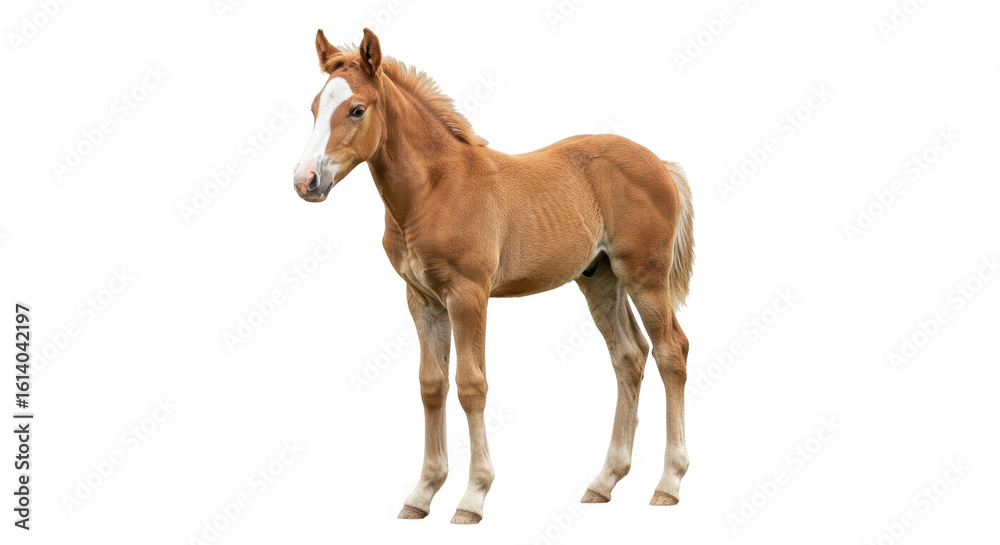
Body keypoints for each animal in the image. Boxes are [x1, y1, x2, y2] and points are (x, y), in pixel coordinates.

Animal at [293, 28, 695, 524]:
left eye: (356, 109)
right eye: (314, 107)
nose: (306, 181)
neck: (434, 189)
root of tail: (661, 164)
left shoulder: (469, 294)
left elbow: (471, 385)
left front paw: (472, 498)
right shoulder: (422, 299)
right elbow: (431, 385)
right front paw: (421, 494)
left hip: (644, 276)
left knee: (671, 352)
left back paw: (669, 483)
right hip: (599, 278)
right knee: (629, 356)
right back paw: (604, 482)